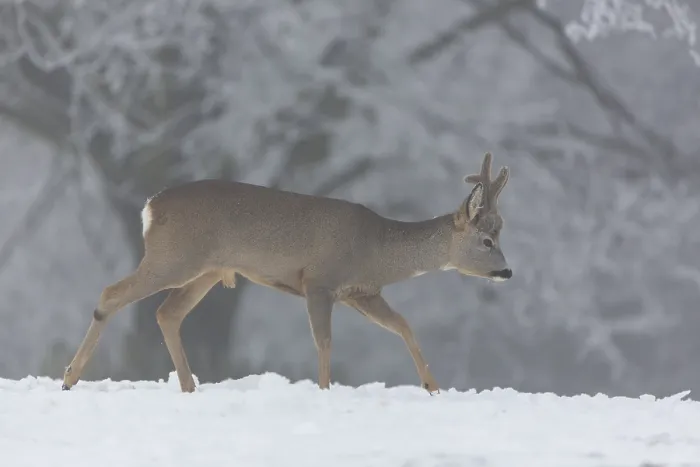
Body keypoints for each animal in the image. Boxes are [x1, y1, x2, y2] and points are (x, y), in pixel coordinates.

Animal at [61, 152, 511, 395]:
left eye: (500, 231)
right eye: (486, 240)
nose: (507, 271)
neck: (377, 248)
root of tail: (150, 206)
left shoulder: (361, 292)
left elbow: (403, 325)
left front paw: (433, 388)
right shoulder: (320, 282)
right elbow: (324, 341)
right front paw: (325, 390)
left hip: (205, 271)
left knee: (166, 313)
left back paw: (189, 387)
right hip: (174, 259)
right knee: (111, 293)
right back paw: (69, 378)